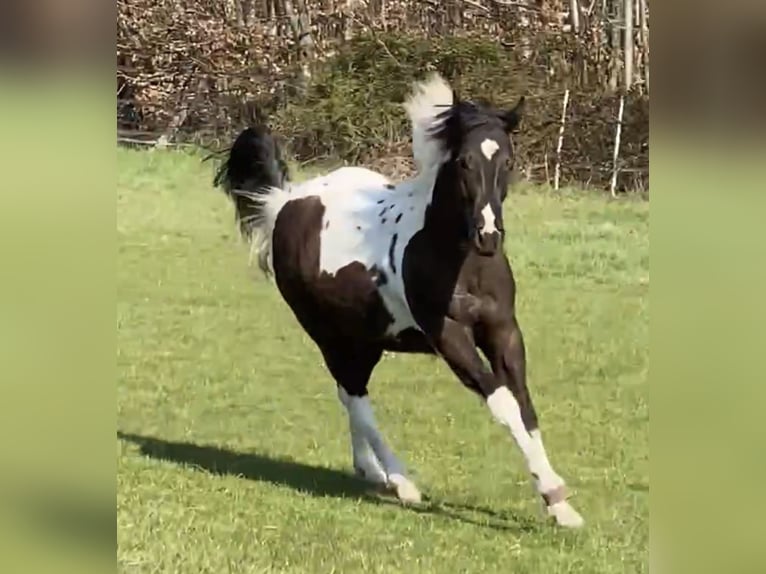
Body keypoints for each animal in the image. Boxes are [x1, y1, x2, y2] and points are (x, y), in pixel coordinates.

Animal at [213, 74, 584, 528]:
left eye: (508, 161)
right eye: (463, 161)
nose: (488, 236)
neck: (459, 260)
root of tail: (285, 201)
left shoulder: (503, 330)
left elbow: (525, 407)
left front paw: (561, 506)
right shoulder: (449, 336)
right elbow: (503, 404)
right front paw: (555, 495)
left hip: (365, 337)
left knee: (348, 392)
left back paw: (371, 470)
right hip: (327, 333)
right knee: (355, 396)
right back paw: (401, 481)